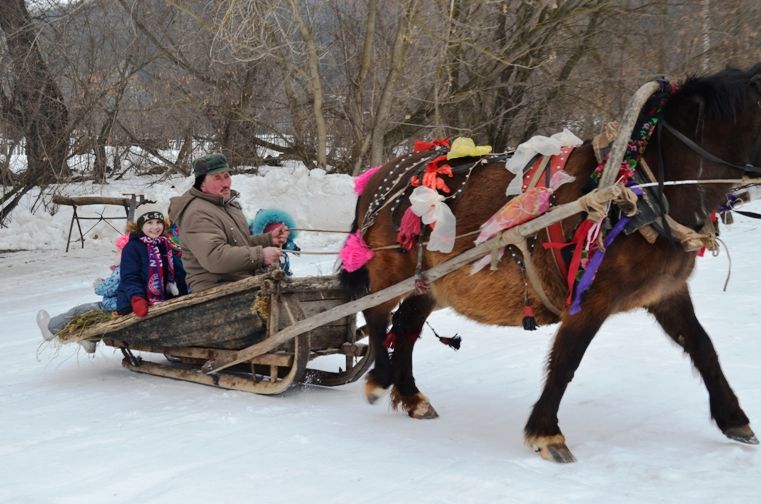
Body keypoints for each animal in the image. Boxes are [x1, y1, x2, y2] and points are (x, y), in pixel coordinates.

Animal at [342, 64, 760, 464]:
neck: (639, 190)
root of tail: (378, 176)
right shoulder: (590, 297)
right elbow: (566, 359)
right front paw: (547, 433)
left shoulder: (665, 292)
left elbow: (702, 347)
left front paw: (734, 419)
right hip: (389, 270)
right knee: (377, 316)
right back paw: (381, 377)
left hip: (429, 281)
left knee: (406, 324)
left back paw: (412, 397)